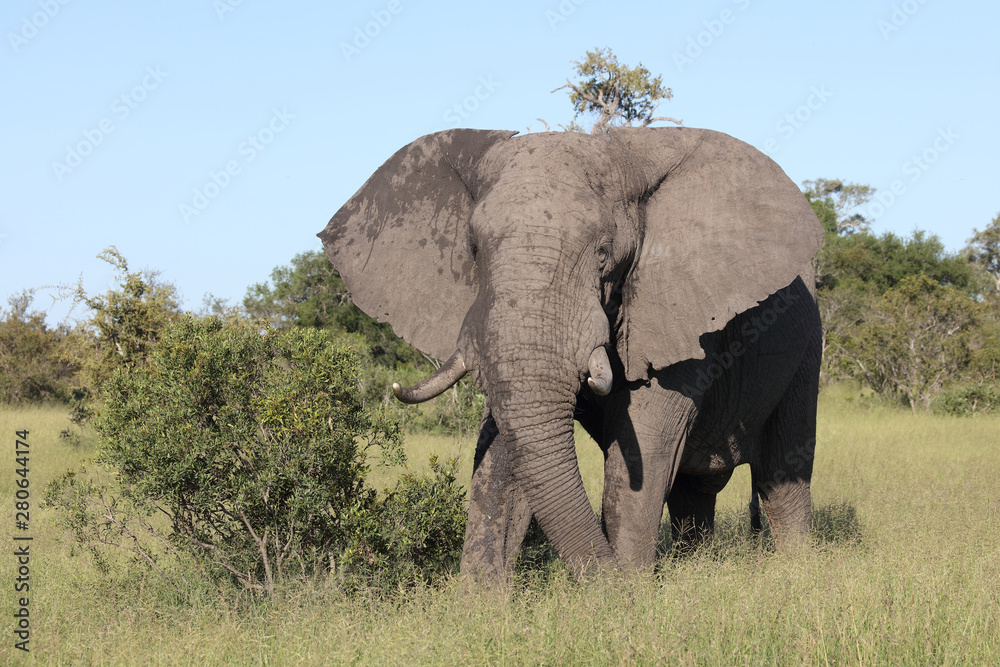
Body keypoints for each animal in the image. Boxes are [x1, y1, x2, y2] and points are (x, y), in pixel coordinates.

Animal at [318, 127, 824, 582]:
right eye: (475, 250)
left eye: (603, 254)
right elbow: (505, 452)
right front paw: (479, 607)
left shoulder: (680, 321)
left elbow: (641, 451)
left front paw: (627, 595)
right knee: (693, 489)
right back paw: (697, 563)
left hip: (807, 346)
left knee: (782, 473)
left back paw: (796, 568)